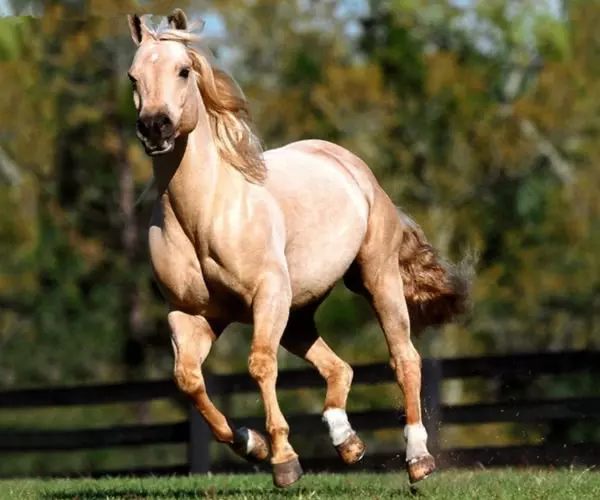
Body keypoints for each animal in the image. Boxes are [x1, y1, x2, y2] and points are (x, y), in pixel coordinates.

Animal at [126, 8, 472, 488]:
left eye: (182, 70)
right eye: (133, 76)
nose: (154, 126)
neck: (204, 214)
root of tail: (353, 167)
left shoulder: (267, 295)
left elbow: (259, 365)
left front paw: (284, 461)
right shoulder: (191, 315)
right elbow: (188, 380)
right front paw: (251, 444)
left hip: (376, 278)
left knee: (405, 358)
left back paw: (418, 458)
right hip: (298, 311)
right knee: (338, 367)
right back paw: (347, 442)